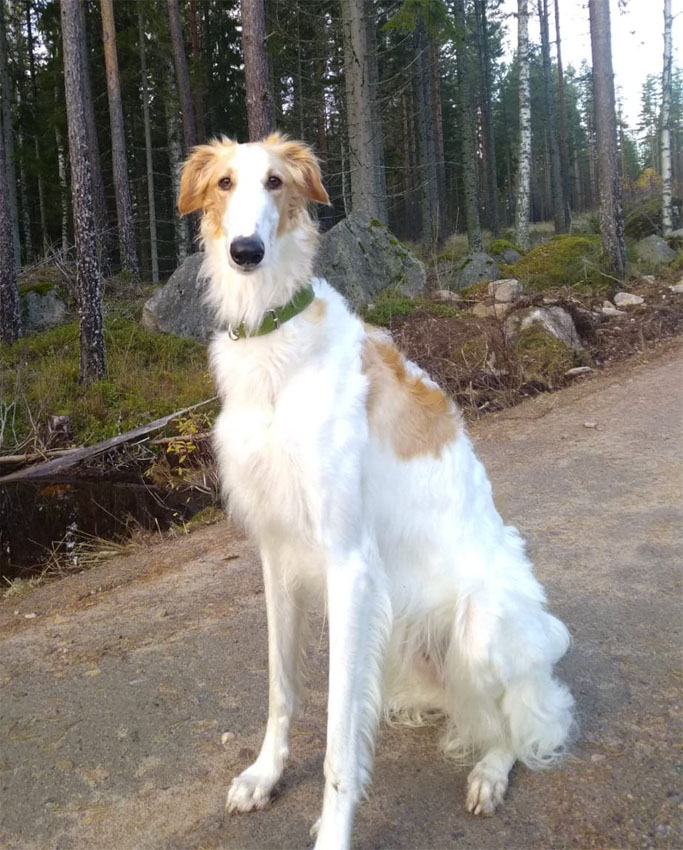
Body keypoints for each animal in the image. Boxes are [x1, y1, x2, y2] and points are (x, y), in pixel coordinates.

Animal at [178, 134, 574, 849]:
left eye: (275, 181)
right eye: (224, 182)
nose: (245, 251)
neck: (276, 345)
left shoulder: (350, 563)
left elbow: (339, 740)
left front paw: (333, 832)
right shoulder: (276, 554)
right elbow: (281, 689)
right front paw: (264, 775)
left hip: (478, 629)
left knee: (524, 722)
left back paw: (490, 774)